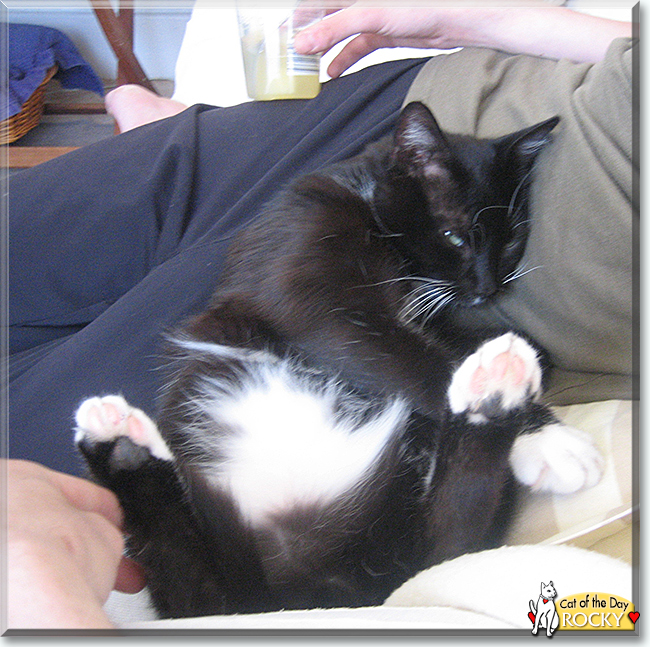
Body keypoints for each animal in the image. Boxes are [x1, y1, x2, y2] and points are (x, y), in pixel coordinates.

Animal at [73, 104, 600, 620]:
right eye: (455, 237)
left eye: (511, 241)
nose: (487, 288)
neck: (363, 194)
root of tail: (296, 591)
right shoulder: (316, 300)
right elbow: (412, 359)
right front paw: (544, 436)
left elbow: (447, 343)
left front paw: (522, 357)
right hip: (218, 578)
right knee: (194, 590)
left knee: (442, 544)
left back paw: (494, 393)